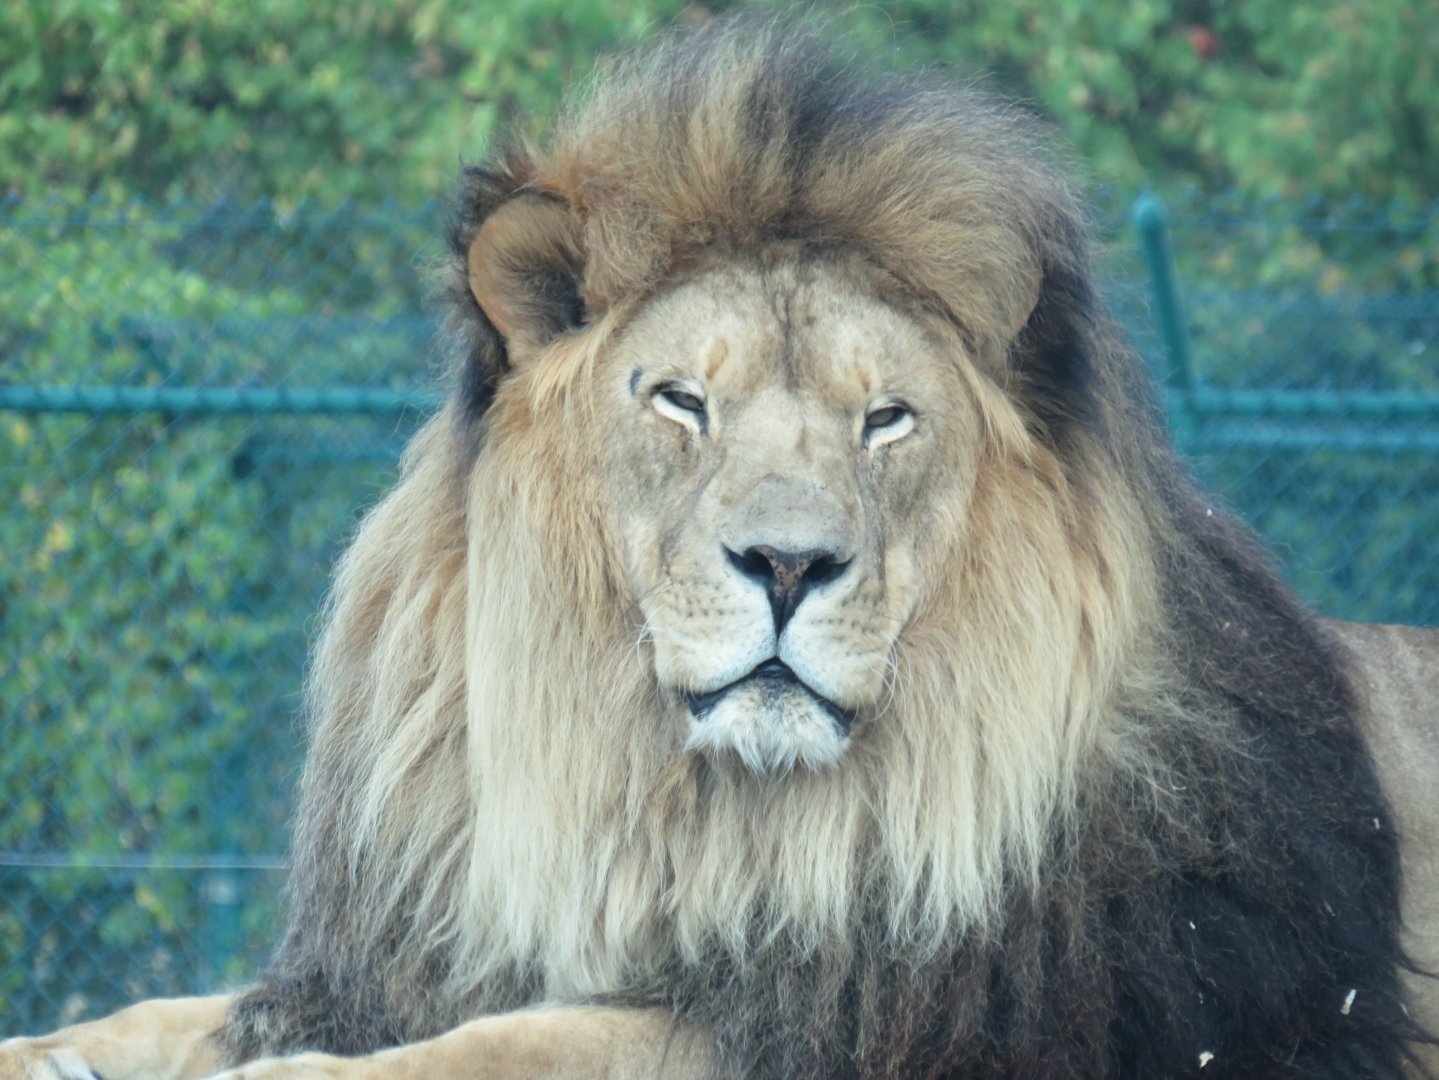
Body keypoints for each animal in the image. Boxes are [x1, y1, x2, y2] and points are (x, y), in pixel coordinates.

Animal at [4, 16, 1437, 1080]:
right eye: (680, 402)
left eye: (885, 419)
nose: (788, 566)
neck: (666, 804)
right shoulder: (402, 954)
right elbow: (172, 1015)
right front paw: (58, 1048)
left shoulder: (945, 1014)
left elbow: (545, 1039)